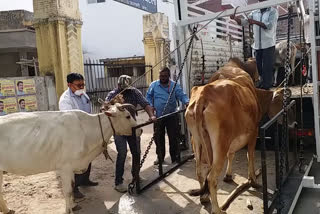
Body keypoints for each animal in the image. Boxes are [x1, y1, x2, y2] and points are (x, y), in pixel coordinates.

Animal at [0, 103, 140, 213]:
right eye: (128, 116)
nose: (139, 130)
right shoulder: (65, 167)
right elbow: (67, 191)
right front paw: (69, 210)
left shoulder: (73, 167)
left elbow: (72, 187)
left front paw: (73, 205)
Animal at [185, 57, 284, 213]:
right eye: (281, 102)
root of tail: (203, 95)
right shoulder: (254, 132)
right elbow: (250, 155)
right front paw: (253, 180)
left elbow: (231, 154)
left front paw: (228, 175)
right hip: (220, 144)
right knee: (211, 178)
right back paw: (217, 209)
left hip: (197, 140)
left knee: (200, 172)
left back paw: (204, 197)